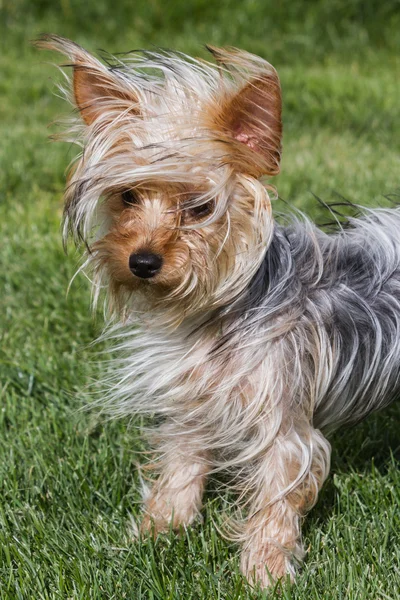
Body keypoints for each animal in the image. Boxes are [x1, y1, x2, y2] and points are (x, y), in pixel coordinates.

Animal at [36, 35, 398, 588]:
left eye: (201, 207)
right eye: (127, 197)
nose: (142, 262)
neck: (214, 312)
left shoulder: (282, 416)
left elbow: (277, 494)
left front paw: (266, 572)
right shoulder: (194, 399)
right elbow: (182, 464)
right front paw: (159, 532)